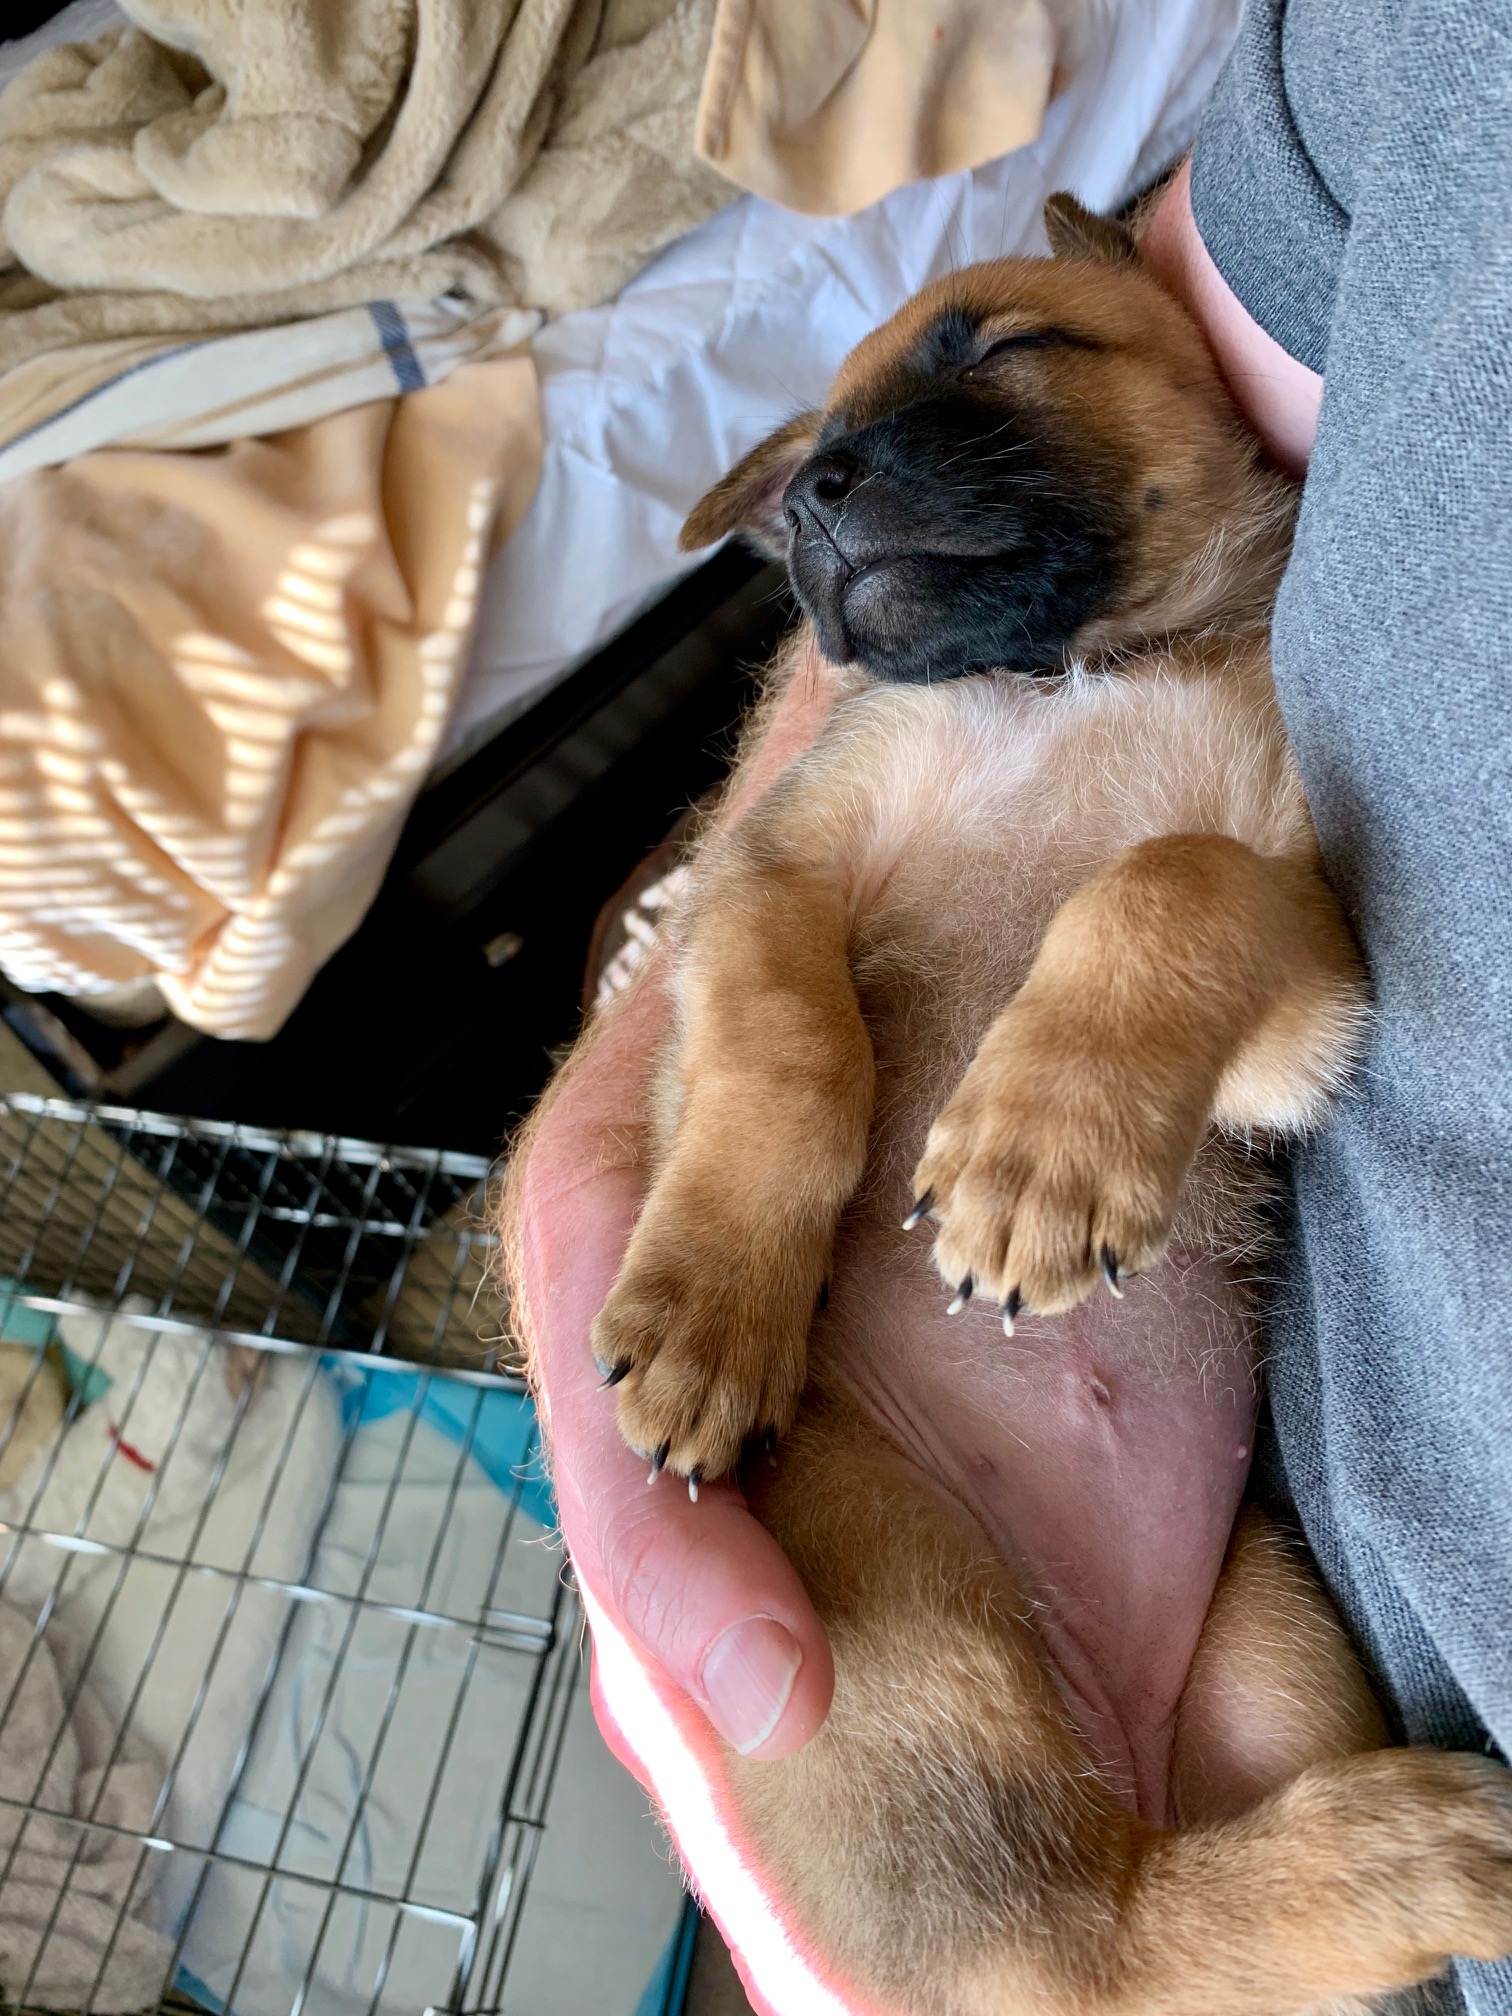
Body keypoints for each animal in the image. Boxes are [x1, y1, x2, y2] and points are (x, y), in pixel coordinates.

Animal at [526, 196, 1512, 2016]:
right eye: (803, 466)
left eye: (1000, 346)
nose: (818, 492)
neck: (1074, 675)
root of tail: (1120, 1742)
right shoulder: (773, 870)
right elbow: (789, 1051)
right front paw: (712, 1313)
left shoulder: (1297, 986)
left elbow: (1160, 879)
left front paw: (1038, 1149)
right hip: (918, 1621)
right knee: (1086, 1944)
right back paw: (1416, 1848)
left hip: (1257, 1646)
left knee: (1128, 1943)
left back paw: (1406, 1852)